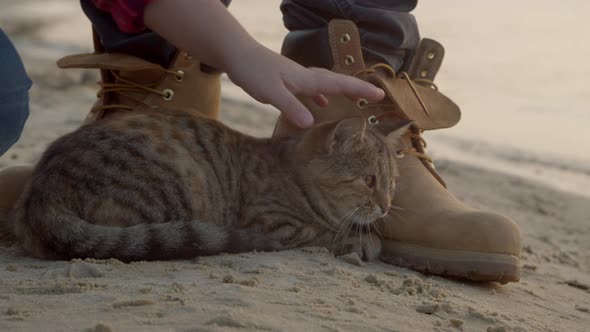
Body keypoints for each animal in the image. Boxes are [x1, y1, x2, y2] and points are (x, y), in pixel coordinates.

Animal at [8, 111, 412, 262]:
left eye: (393, 182)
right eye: (368, 180)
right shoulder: (275, 224)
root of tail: (42, 190)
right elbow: (328, 233)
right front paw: (364, 241)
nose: (386, 206)